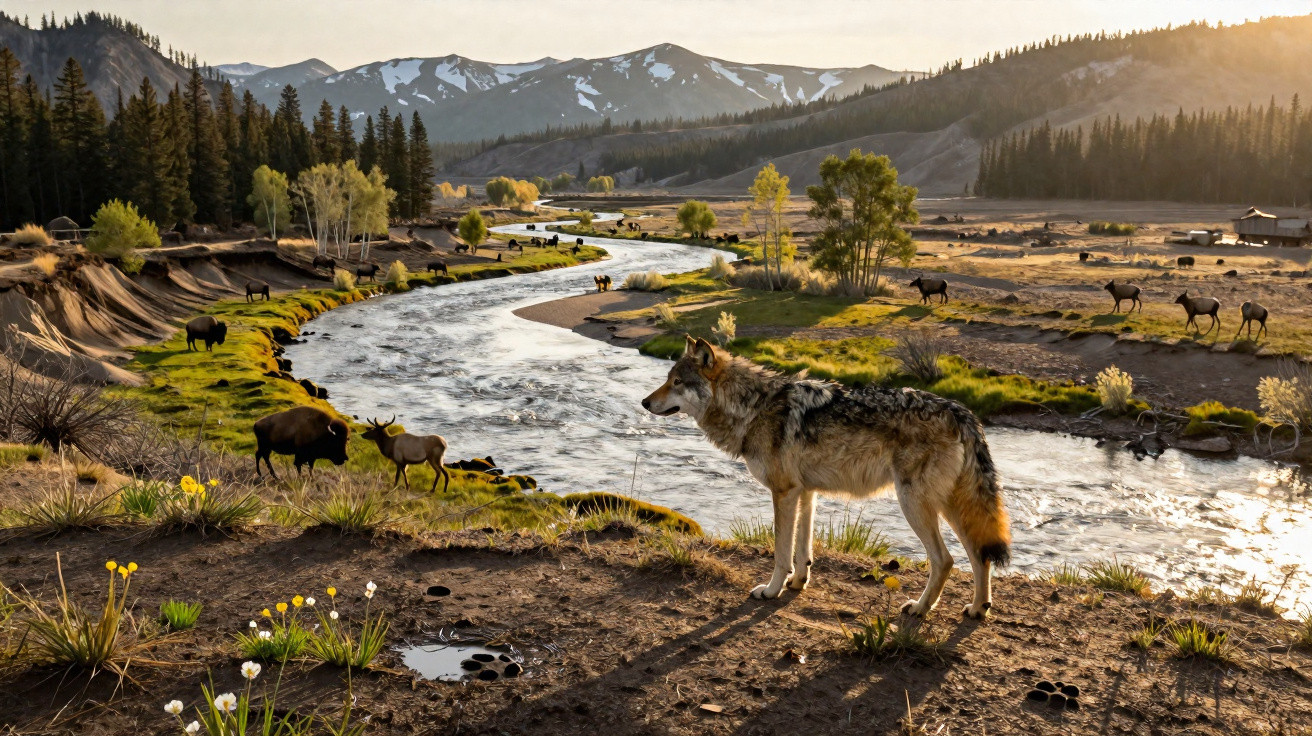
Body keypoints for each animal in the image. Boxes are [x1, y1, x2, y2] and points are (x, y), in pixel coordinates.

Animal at [642, 336, 1011, 618]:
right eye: (668, 379)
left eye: (677, 382)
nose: (645, 402)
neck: (754, 407)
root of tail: (961, 411)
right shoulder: (806, 493)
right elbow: (802, 549)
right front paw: (797, 583)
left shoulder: (784, 492)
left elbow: (781, 552)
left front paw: (772, 591)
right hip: (949, 506)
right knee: (980, 555)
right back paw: (978, 609)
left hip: (914, 504)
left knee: (945, 560)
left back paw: (920, 609)